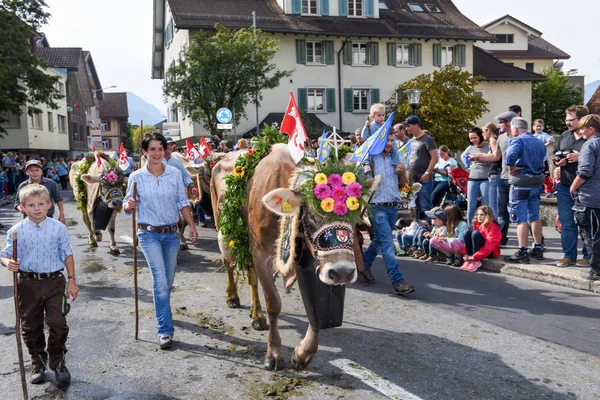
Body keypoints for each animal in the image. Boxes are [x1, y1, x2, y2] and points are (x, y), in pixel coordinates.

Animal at [211, 144, 376, 372]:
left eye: (354, 216)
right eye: (312, 215)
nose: (343, 272)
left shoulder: (311, 260)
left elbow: (316, 310)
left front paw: (302, 354)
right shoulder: (261, 253)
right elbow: (273, 303)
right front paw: (274, 354)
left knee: (252, 277)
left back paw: (257, 315)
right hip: (224, 228)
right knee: (229, 263)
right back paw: (233, 298)